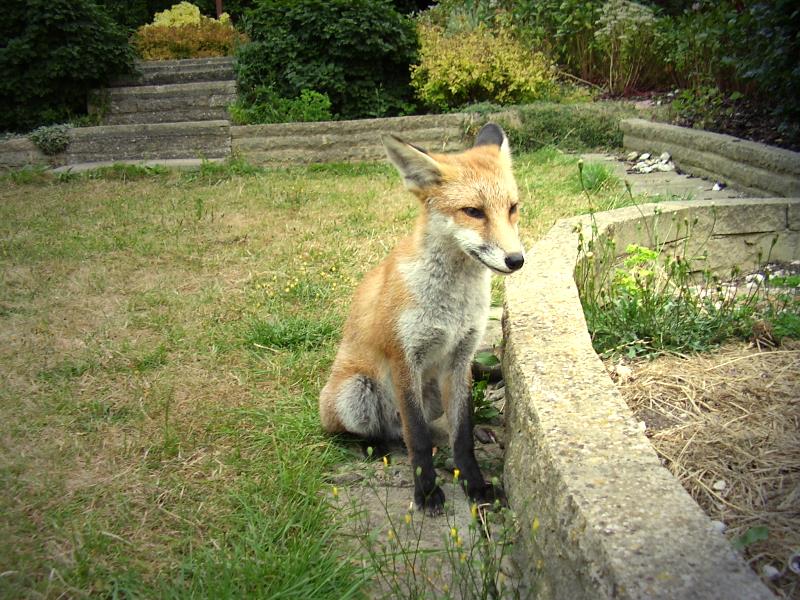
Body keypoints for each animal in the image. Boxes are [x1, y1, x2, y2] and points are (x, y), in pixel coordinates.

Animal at [318, 123, 524, 516]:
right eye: (473, 211)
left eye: (512, 208)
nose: (517, 260)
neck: (452, 305)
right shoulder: (404, 358)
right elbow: (418, 437)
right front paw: (426, 492)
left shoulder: (461, 359)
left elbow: (461, 436)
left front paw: (475, 485)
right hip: (355, 391)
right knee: (372, 433)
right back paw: (373, 447)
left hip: (432, 393)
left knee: (417, 431)